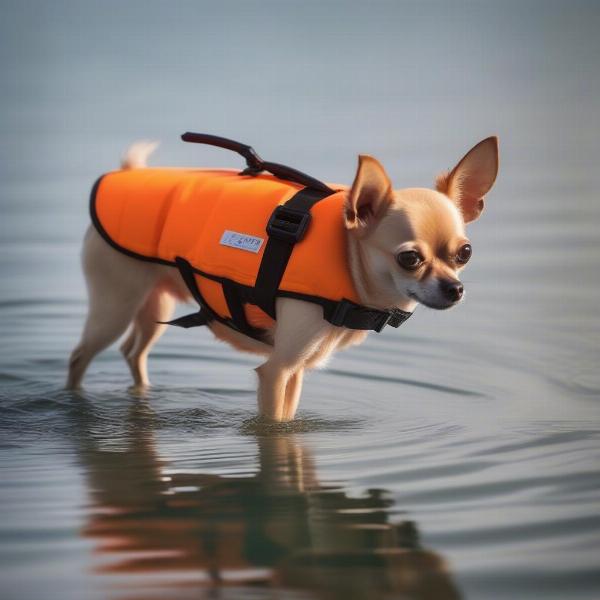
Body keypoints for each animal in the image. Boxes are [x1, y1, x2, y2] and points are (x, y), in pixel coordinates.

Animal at [67, 138, 496, 422]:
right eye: (409, 259)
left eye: (464, 253)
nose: (455, 289)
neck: (346, 258)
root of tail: (124, 173)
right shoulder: (277, 370)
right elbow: (275, 428)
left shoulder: (297, 369)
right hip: (115, 306)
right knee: (80, 356)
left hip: (154, 302)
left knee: (132, 352)